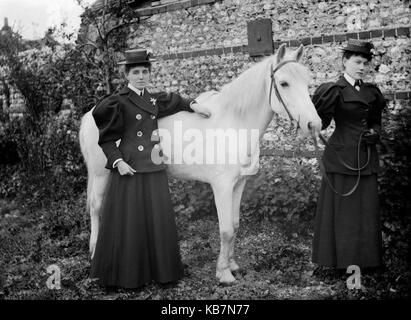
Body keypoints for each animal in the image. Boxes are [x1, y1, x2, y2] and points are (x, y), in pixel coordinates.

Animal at [78, 43, 322, 284]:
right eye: (284, 83)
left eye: (307, 81)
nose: (314, 125)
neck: (234, 123)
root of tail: (91, 114)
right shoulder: (222, 186)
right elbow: (225, 230)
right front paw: (223, 273)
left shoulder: (239, 184)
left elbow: (235, 225)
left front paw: (233, 265)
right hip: (101, 174)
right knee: (96, 207)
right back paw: (95, 252)